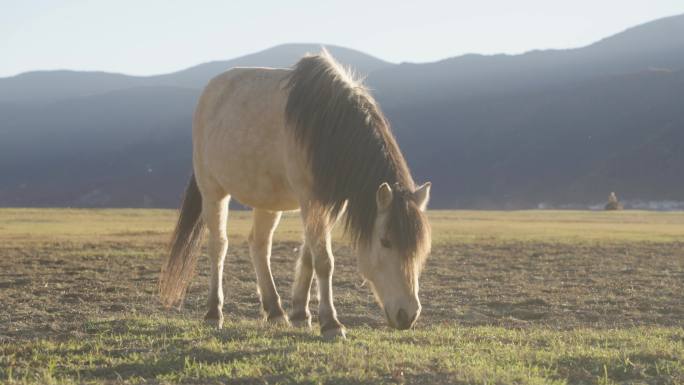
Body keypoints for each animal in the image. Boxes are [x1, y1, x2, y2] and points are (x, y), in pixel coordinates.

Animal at [158, 49, 430, 338]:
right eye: (385, 241)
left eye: (420, 247)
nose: (408, 315)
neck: (325, 125)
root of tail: (210, 92)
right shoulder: (310, 199)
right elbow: (324, 260)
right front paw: (331, 323)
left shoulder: (328, 204)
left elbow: (309, 255)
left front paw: (300, 313)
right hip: (213, 191)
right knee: (218, 246)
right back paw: (213, 313)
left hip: (267, 199)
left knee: (259, 245)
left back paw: (275, 310)